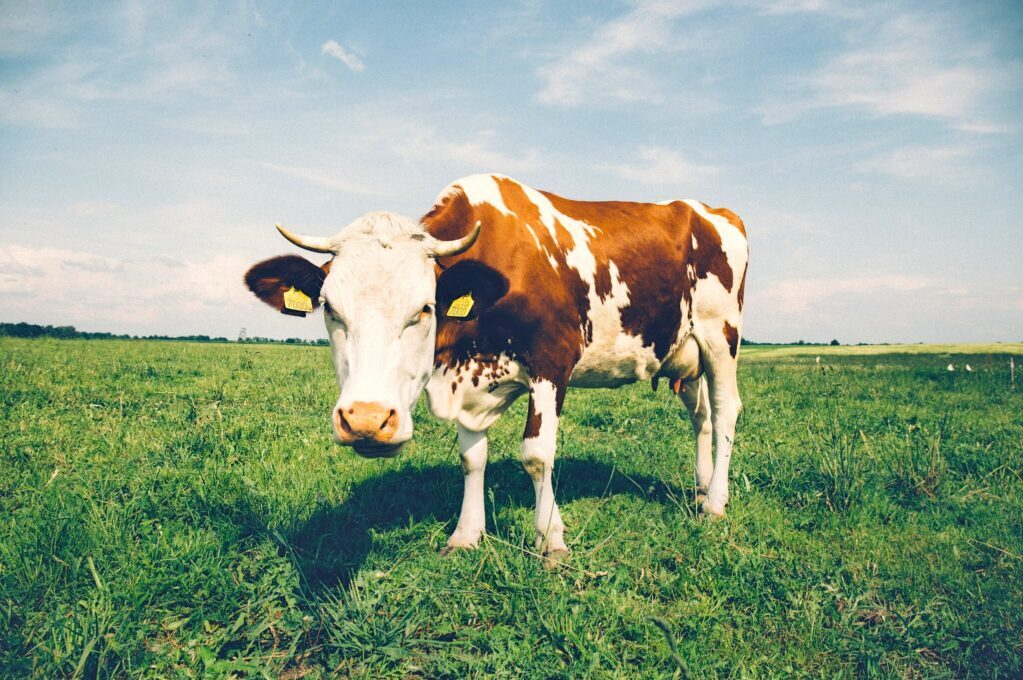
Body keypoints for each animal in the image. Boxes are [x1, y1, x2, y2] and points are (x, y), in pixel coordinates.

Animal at [244, 172, 748, 560]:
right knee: (701, 416)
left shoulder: (551, 362)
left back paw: (716, 502)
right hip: (685, 354)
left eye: (425, 308)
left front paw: (550, 539)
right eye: (330, 308)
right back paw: (701, 487)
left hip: (721, 336)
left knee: (725, 412)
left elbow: (537, 455)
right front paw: (466, 534)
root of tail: (711, 209)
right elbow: (472, 458)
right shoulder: (463, 382)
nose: (367, 421)